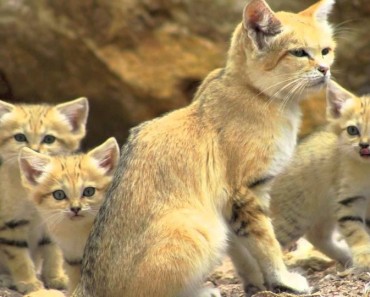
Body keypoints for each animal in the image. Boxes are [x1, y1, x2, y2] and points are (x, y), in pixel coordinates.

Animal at [0, 97, 88, 292]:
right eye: (20, 137)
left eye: (49, 139)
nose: (34, 151)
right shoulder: (11, 224)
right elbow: (19, 258)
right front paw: (28, 282)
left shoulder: (53, 222)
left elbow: (54, 253)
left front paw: (55, 277)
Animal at [73, 0, 336, 296]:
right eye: (299, 53)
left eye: (326, 51)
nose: (325, 69)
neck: (254, 92)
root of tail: (88, 286)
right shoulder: (245, 192)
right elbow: (267, 242)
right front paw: (282, 279)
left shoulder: (230, 206)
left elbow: (242, 252)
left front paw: (256, 282)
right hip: (198, 229)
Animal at [270, 80, 370, 268]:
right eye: (352, 130)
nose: (364, 145)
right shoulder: (348, 201)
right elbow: (356, 232)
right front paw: (364, 255)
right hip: (292, 218)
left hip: (324, 212)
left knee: (316, 236)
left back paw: (344, 256)